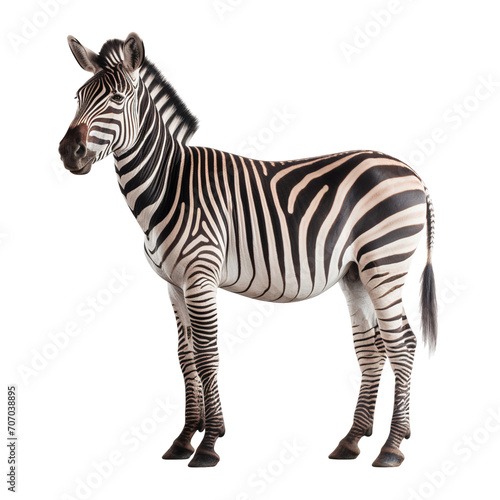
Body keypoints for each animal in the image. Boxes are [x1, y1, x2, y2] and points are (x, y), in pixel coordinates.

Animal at [58, 33, 438, 466]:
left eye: (118, 98)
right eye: (78, 96)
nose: (68, 151)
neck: (170, 185)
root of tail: (412, 172)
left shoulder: (200, 276)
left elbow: (207, 354)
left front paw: (209, 443)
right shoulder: (173, 284)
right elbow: (185, 356)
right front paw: (184, 438)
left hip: (384, 263)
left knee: (402, 344)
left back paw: (392, 446)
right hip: (357, 273)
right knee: (372, 350)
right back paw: (353, 440)